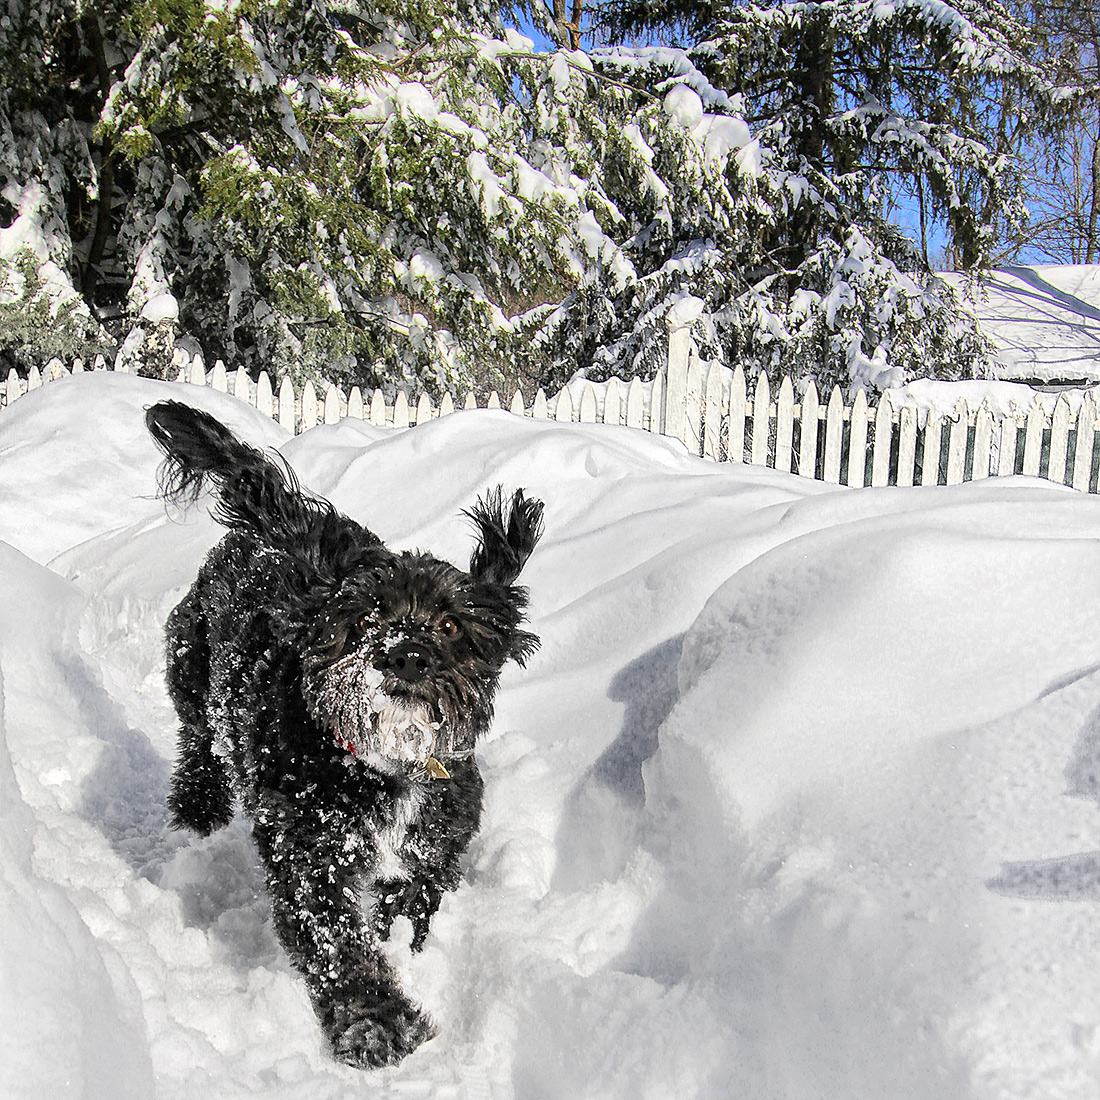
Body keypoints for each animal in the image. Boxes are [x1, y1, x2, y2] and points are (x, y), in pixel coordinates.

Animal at [146, 402, 541, 1064]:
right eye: (361, 617)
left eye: (451, 624)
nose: (407, 656)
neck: (383, 769)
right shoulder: (309, 855)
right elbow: (337, 947)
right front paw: (379, 1027)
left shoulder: (441, 830)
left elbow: (415, 892)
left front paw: (399, 935)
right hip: (190, 666)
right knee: (198, 738)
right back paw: (198, 804)